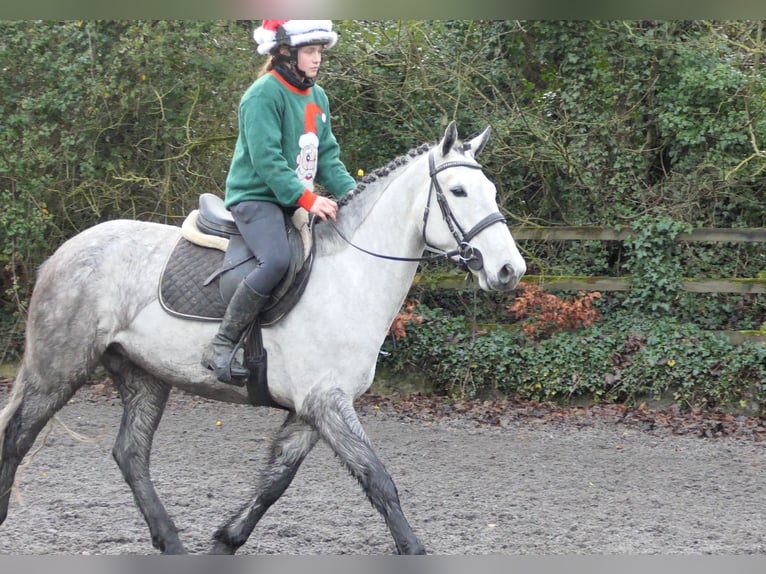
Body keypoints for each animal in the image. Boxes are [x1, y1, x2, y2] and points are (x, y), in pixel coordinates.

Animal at [0, 121, 526, 555]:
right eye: (458, 190)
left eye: (492, 190)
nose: (509, 269)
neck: (349, 276)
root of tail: (65, 252)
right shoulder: (326, 402)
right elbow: (378, 481)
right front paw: (413, 550)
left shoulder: (311, 409)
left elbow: (275, 481)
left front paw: (225, 541)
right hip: (58, 371)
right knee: (17, 438)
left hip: (143, 375)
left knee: (130, 453)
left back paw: (171, 543)